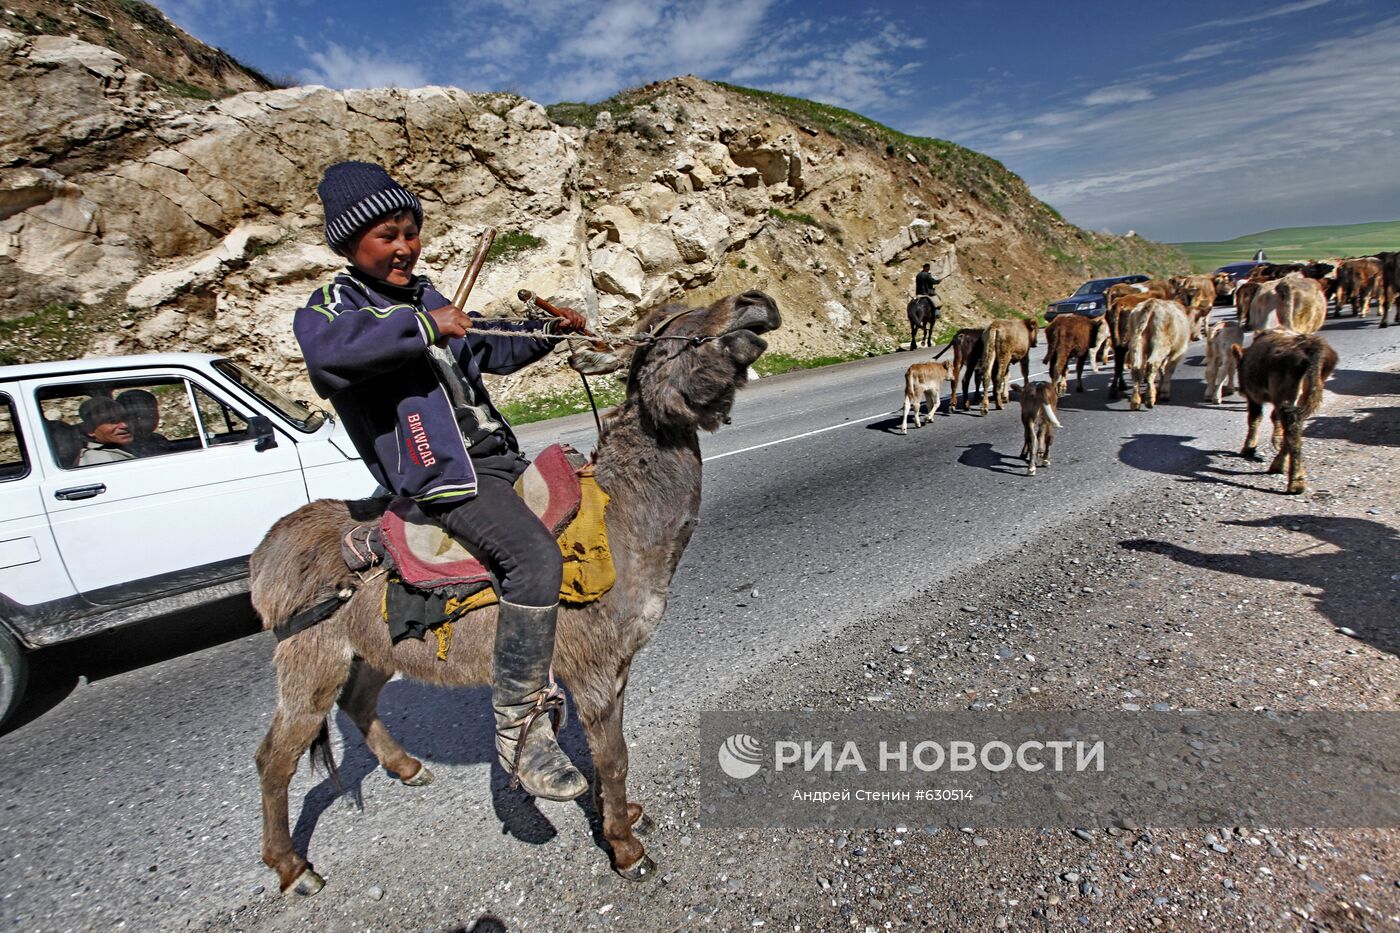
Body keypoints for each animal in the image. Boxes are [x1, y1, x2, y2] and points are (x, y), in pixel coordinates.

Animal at [1232, 332, 1338, 493]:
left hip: (1285, 395)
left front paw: (1248, 448)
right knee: (1294, 427)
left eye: (1237, 367)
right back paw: (1279, 466)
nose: (1241, 391)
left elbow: (1254, 419)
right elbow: (1273, 419)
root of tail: (1310, 347)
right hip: (1304, 395)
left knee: (1292, 432)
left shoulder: (1253, 397)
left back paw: (1295, 482)